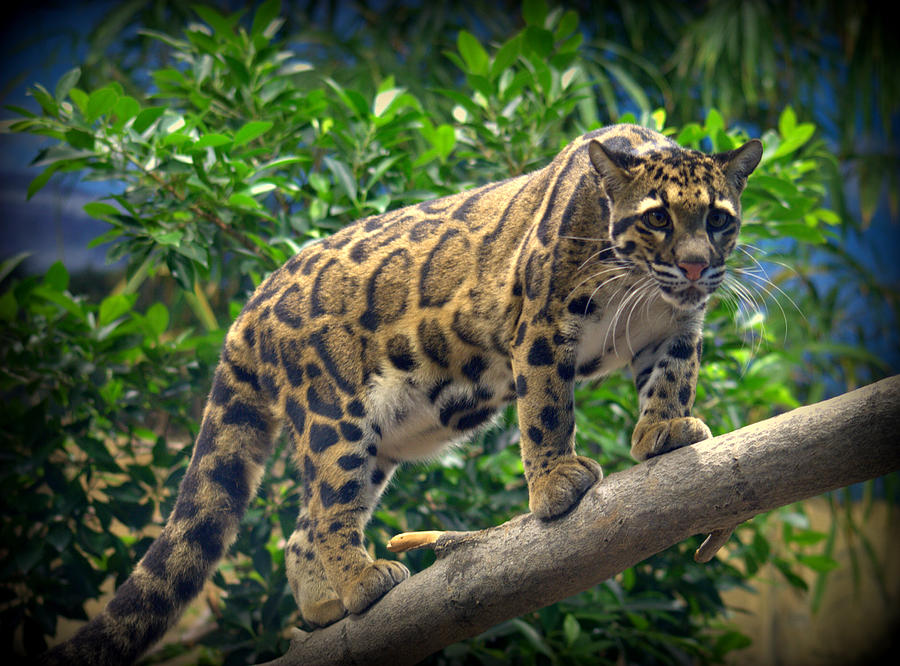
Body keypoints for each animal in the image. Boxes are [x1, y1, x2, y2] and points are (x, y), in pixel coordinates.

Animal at [43, 123, 762, 665]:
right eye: (658, 217)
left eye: (718, 219)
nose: (696, 264)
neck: (639, 285)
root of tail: (251, 303)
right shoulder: (542, 324)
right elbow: (546, 409)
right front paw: (557, 484)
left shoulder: (674, 328)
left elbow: (671, 379)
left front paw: (663, 433)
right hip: (334, 417)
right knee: (328, 512)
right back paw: (363, 583)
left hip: (380, 437)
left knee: (303, 529)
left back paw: (324, 604)